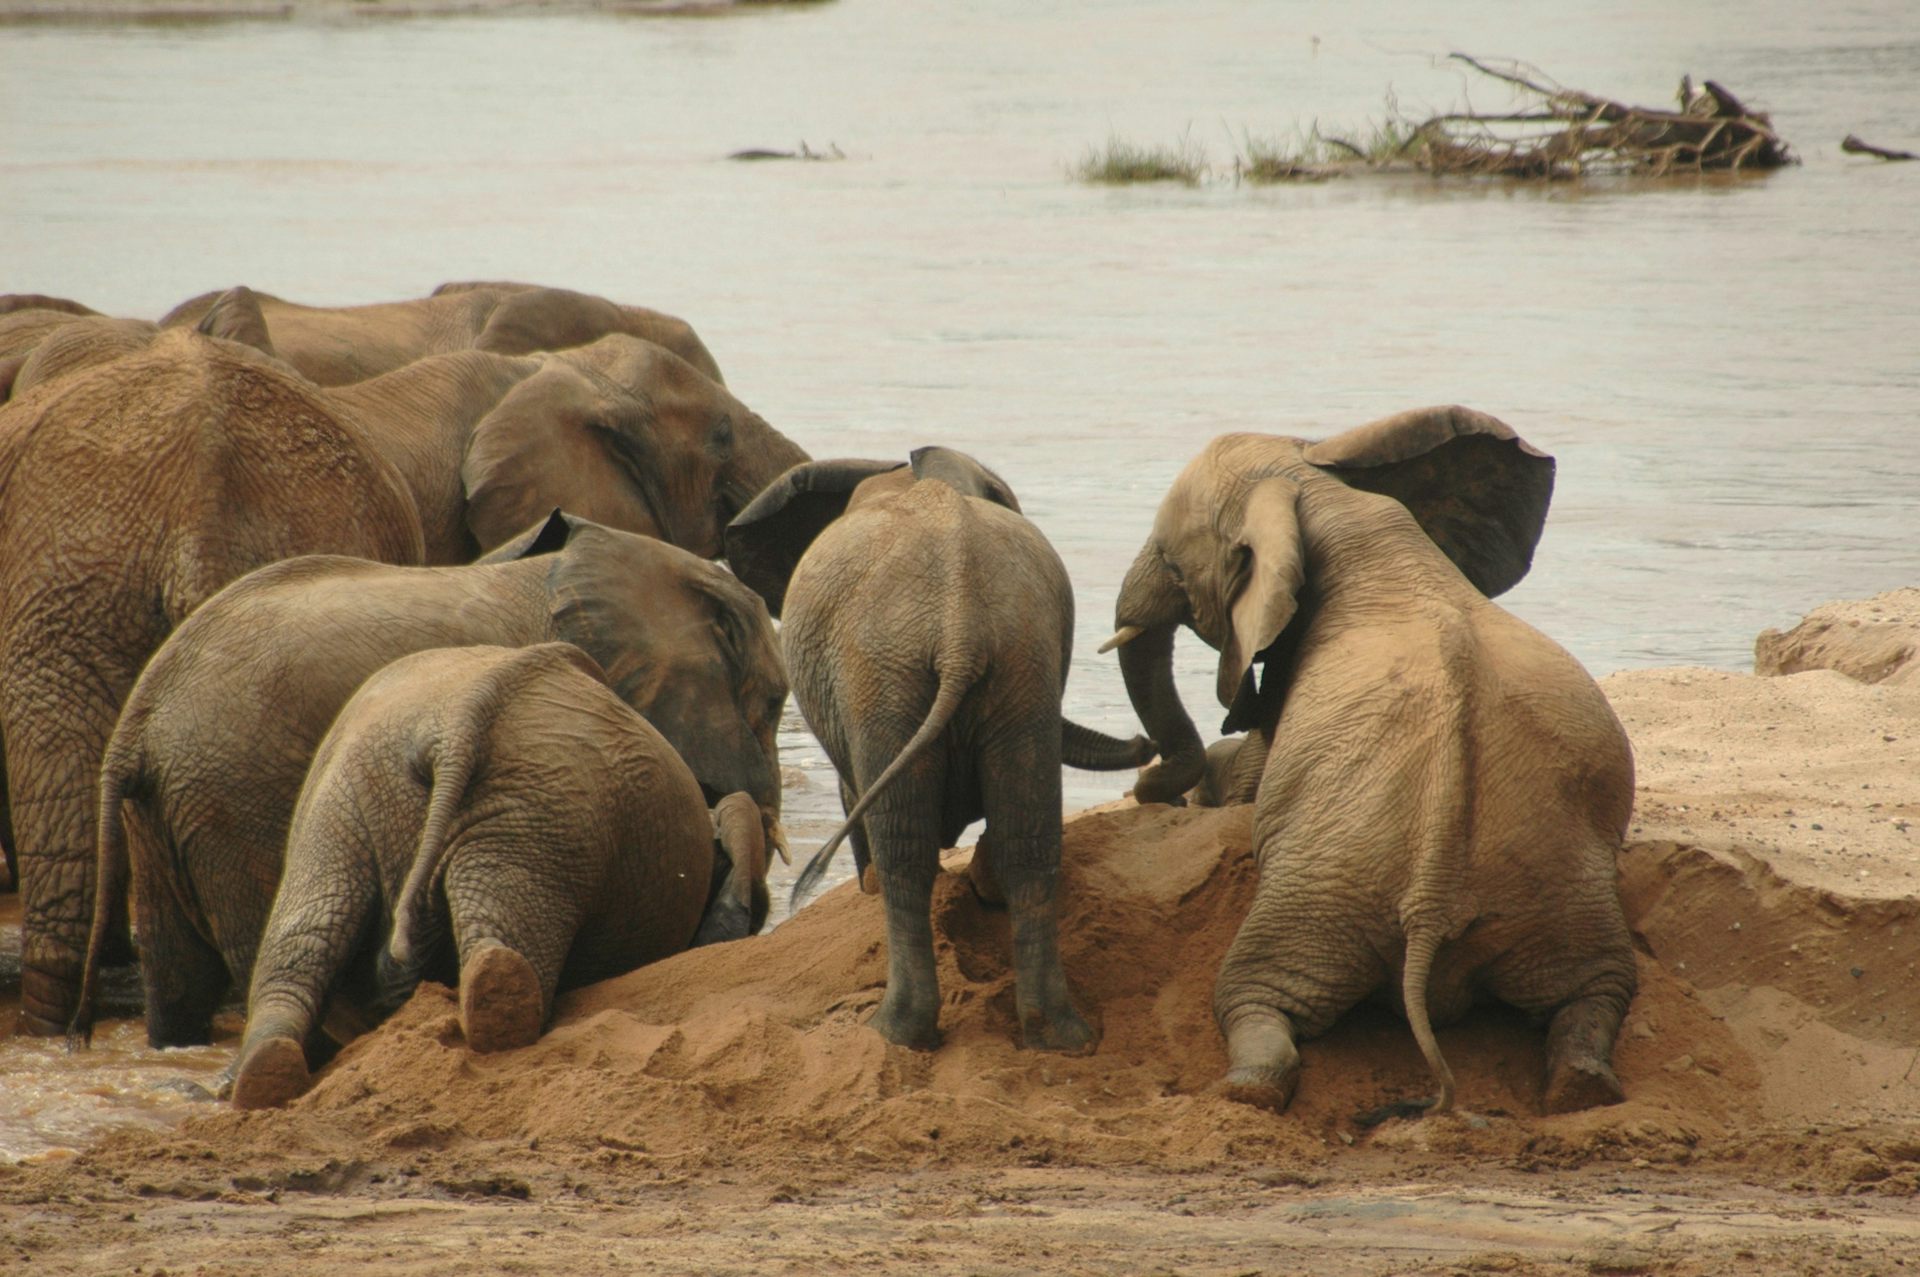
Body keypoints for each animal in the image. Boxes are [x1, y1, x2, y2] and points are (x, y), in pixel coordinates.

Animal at [725, 447, 1155, 1052]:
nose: (1146, 743)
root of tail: (959, 625)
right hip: (1017, 665)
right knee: (1029, 839)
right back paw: (1059, 1036)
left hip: (882, 674)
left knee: (905, 849)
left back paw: (896, 1030)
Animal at [1101, 407, 1635, 1115]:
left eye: (1172, 563)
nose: (1145, 775)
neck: (1328, 498)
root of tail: (1433, 899)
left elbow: (1251, 773)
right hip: (1559, 893)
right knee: (1596, 991)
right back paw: (1582, 1086)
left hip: (1320, 894)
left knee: (1251, 994)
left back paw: (1244, 1090)